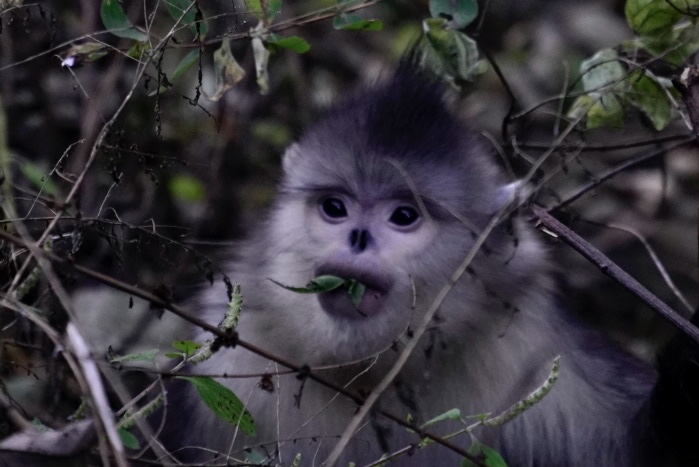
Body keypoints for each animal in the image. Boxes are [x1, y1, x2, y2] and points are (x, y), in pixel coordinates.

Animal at [160, 59, 699, 467]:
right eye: (335, 208)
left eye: (403, 216)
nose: (358, 237)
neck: (371, 374)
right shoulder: (226, 357)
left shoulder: (539, 351)